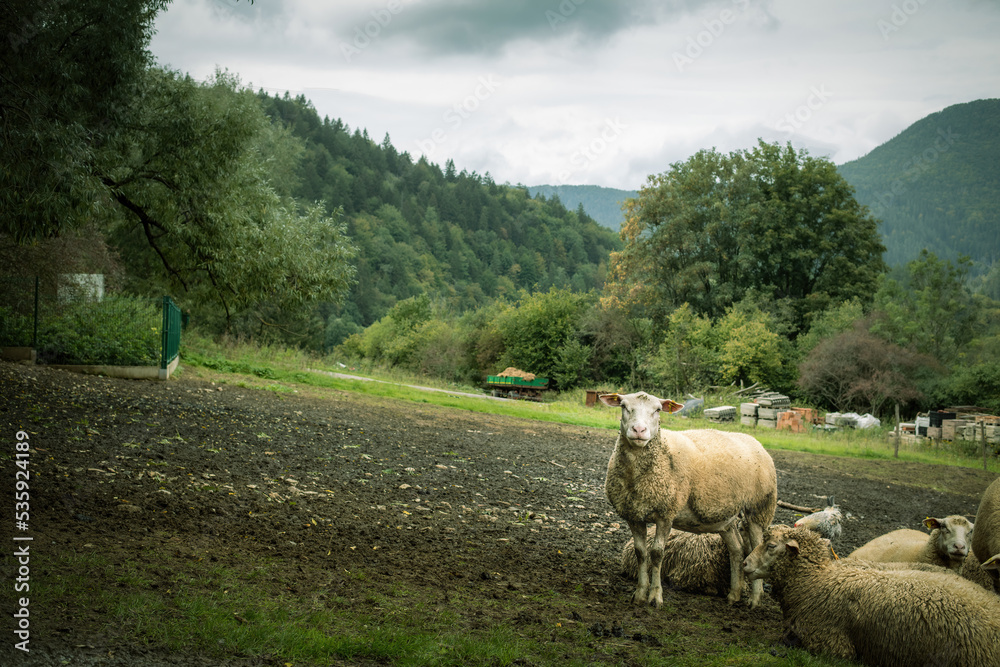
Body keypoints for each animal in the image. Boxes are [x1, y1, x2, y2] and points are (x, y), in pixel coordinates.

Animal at [600, 391, 777, 608]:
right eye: (624, 406)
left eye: (657, 410)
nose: (639, 430)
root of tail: (755, 441)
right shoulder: (634, 513)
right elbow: (640, 553)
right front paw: (640, 594)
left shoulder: (666, 513)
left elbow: (657, 553)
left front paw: (655, 596)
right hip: (725, 518)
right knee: (737, 550)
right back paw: (733, 595)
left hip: (759, 507)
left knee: (756, 546)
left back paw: (755, 598)